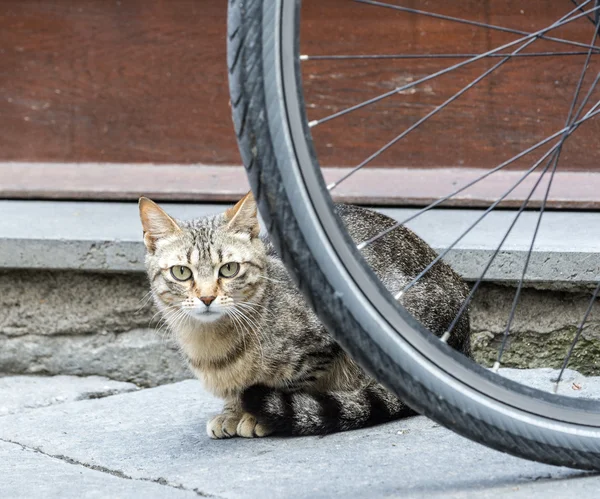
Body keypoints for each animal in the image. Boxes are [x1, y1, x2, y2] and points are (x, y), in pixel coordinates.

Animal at [138, 193, 472, 440]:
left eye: (229, 269)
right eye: (182, 272)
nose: (206, 297)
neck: (211, 345)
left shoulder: (323, 343)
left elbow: (291, 383)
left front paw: (256, 416)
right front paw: (231, 411)